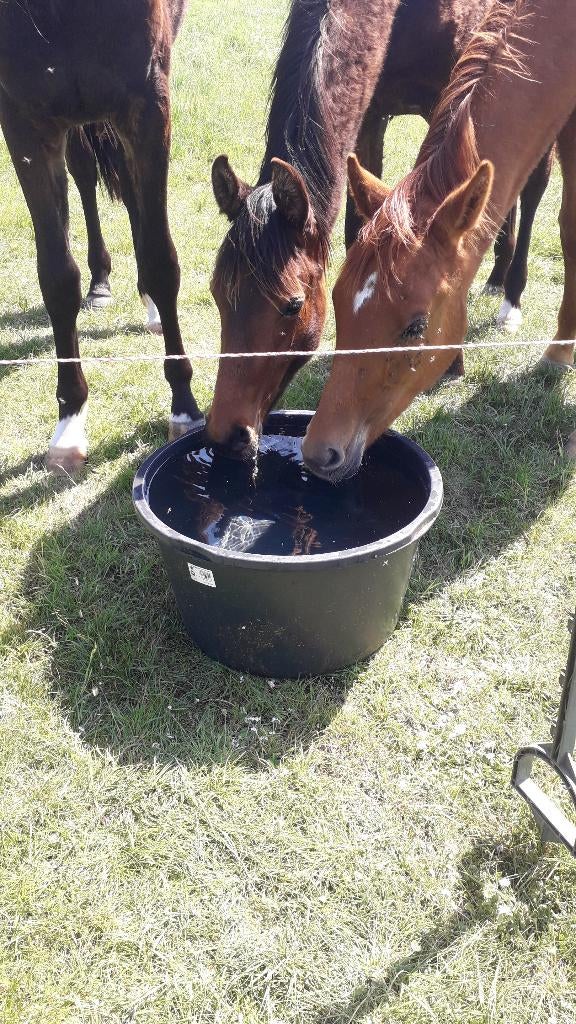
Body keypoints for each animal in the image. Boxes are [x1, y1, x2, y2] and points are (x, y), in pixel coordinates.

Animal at [0, 0, 200, 473]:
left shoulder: (148, 106)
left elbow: (161, 261)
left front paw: (184, 406)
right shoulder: (25, 124)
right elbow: (57, 278)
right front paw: (69, 422)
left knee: (128, 187)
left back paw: (149, 305)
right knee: (86, 173)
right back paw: (100, 281)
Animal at [207, 0, 552, 459]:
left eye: (292, 305)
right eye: (217, 294)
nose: (227, 433)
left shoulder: (449, 100)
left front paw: (452, 361)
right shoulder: (370, 114)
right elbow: (360, 228)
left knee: (532, 191)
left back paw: (511, 298)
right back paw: (496, 276)